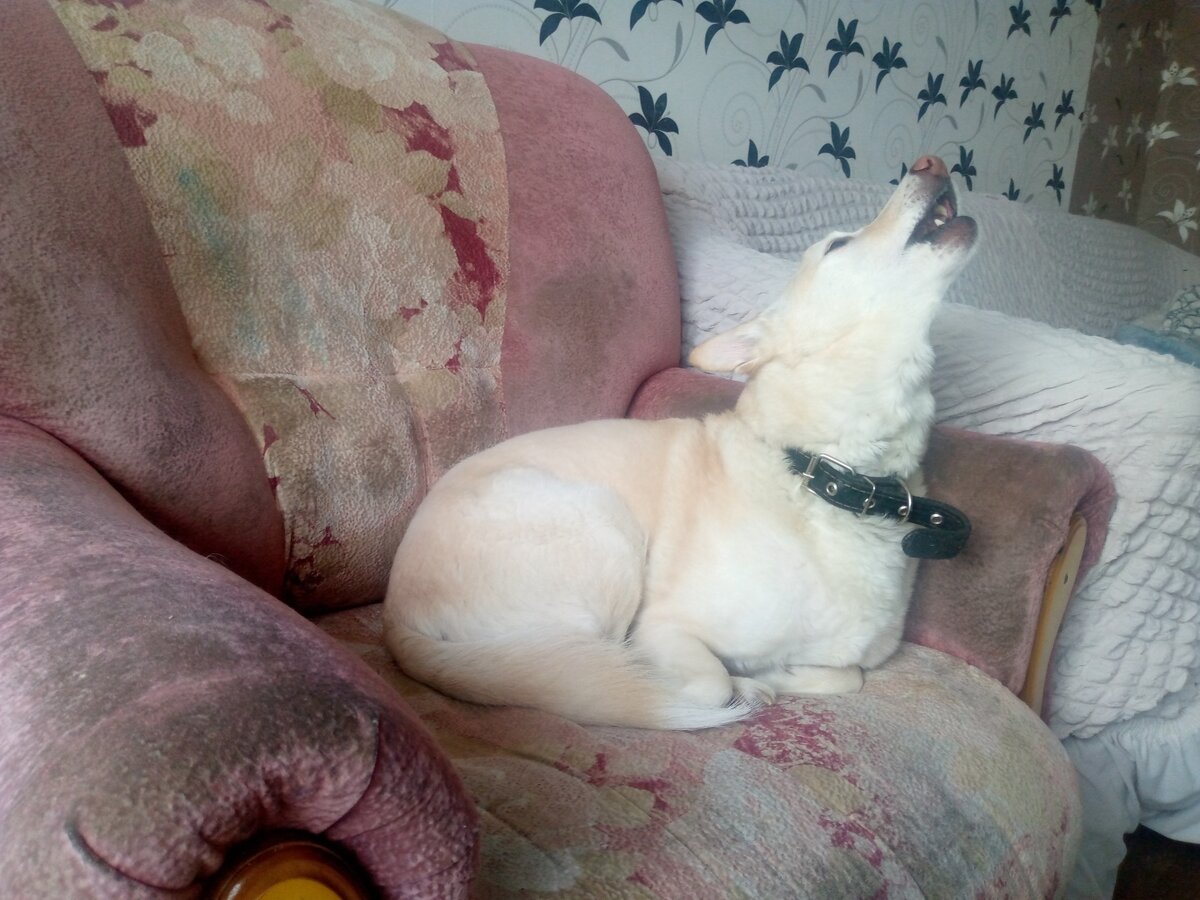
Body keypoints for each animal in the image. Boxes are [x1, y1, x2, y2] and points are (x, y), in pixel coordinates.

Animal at [383, 155, 977, 729]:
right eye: (838, 244)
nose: (931, 161)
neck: (825, 477)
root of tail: (395, 619)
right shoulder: (662, 628)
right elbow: (711, 682)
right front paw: (749, 682)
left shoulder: (845, 659)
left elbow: (846, 675)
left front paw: (776, 674)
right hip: (606, 531)